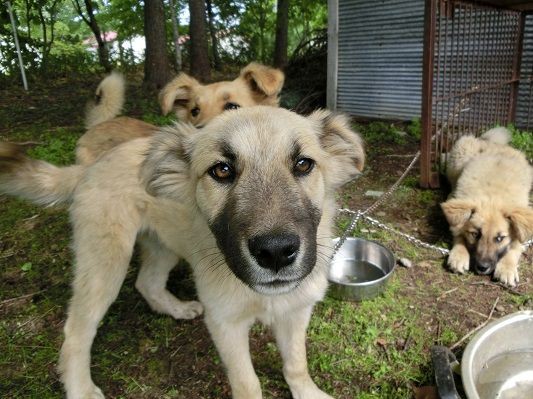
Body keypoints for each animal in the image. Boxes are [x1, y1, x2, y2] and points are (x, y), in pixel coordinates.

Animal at [0, 107, 364, 399]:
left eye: (303, 164)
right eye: (221, 170)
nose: (275, 252)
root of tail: (90, 166)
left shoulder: (296, 311)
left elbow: (296, 364)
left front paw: (308, 393)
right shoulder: (225, 323)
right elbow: (248, 384)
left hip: (164, 245)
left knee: (147, 283)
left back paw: (176, 308)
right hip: (105, 264)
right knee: (76, 333)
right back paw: (81, 389)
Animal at [440, 126, 532, 286]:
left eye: (500, 238)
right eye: (475, 234)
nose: (482, 268)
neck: (492, 198)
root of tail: (493, 143)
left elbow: (515, 247)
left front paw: (507, 268)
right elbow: (459, 233)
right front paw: (459, 255)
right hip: (460, 155)